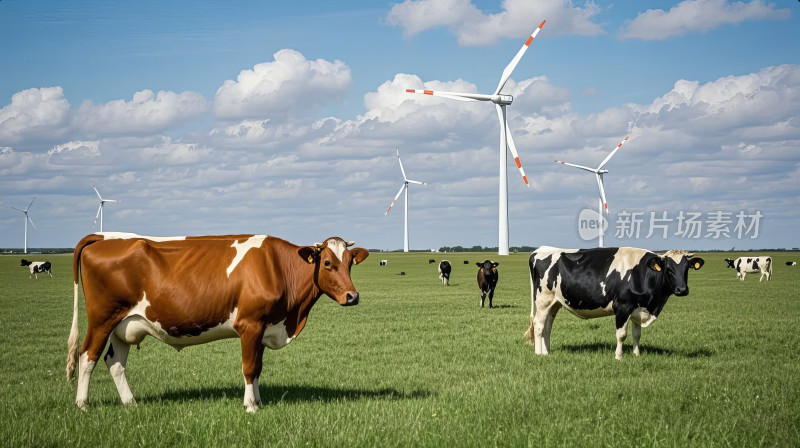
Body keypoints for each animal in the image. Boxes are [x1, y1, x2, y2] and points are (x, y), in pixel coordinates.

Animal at [67, 234, 368, 412]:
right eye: (327, 263)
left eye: (350, 262)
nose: (352, 296)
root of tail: (105, 237)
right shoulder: (250, 325)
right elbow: (249, 368)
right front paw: (250, 406)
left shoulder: (264, 327)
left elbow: (258, 368)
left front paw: (258, 400)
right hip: (102, 319)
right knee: (87, 356)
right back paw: (82, 404)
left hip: (124, 325)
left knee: (115, 362)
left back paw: (131, 403)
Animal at [524, 247, 708, 358]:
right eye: (668, 268)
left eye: (686, 268)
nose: (682, 289)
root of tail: (540, 250)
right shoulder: (623, 307)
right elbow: (621, 334)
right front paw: (618, 356)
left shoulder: (638, 308)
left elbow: (637, 334)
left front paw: (636, 355)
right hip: (543, 301)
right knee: (539, 325)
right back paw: (539, 354)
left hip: (554, 303)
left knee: (547, 327)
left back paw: (547, 352)